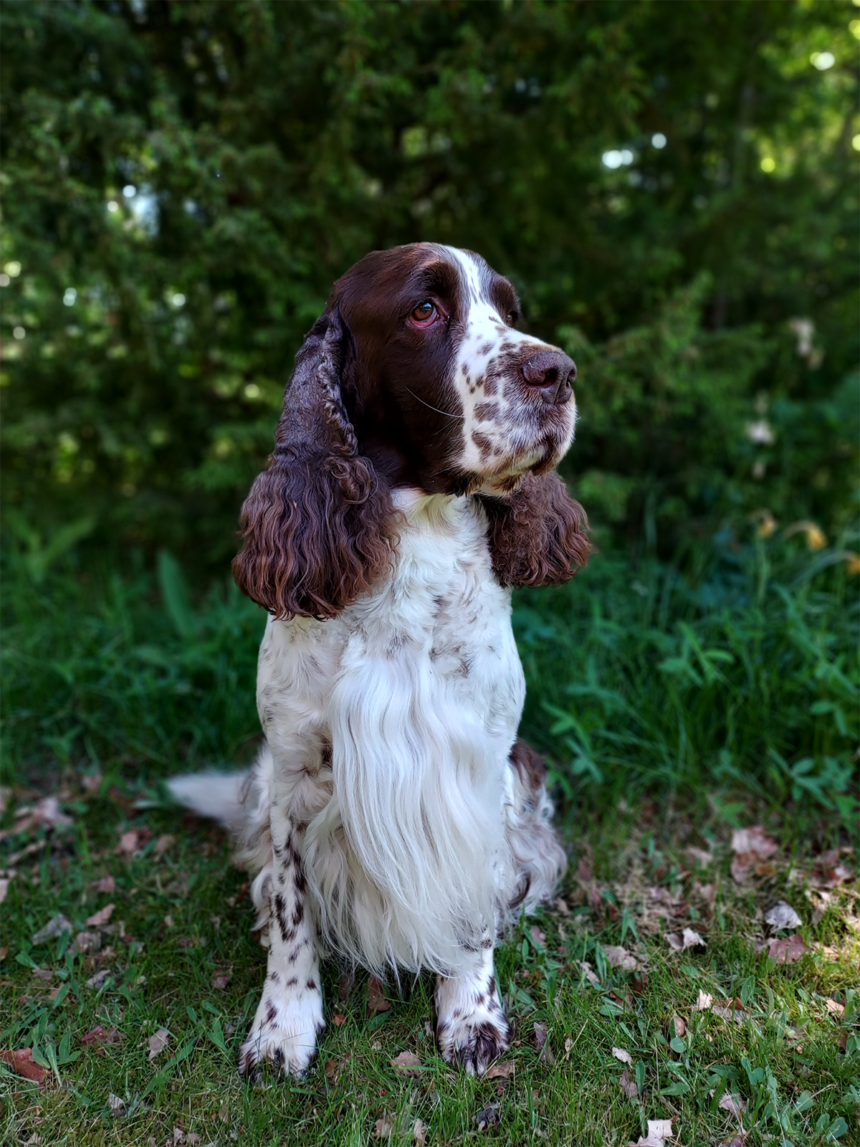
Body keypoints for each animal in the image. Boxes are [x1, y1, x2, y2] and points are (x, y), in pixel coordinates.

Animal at [172, 239, 591, 1073]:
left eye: (509, 309)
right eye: (424, 308)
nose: (557, 371)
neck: (415, 538)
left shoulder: (480, 763)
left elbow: (474, 899)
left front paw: (471, 1012)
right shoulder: (293, 770)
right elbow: (293, 911)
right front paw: (283, 1027)